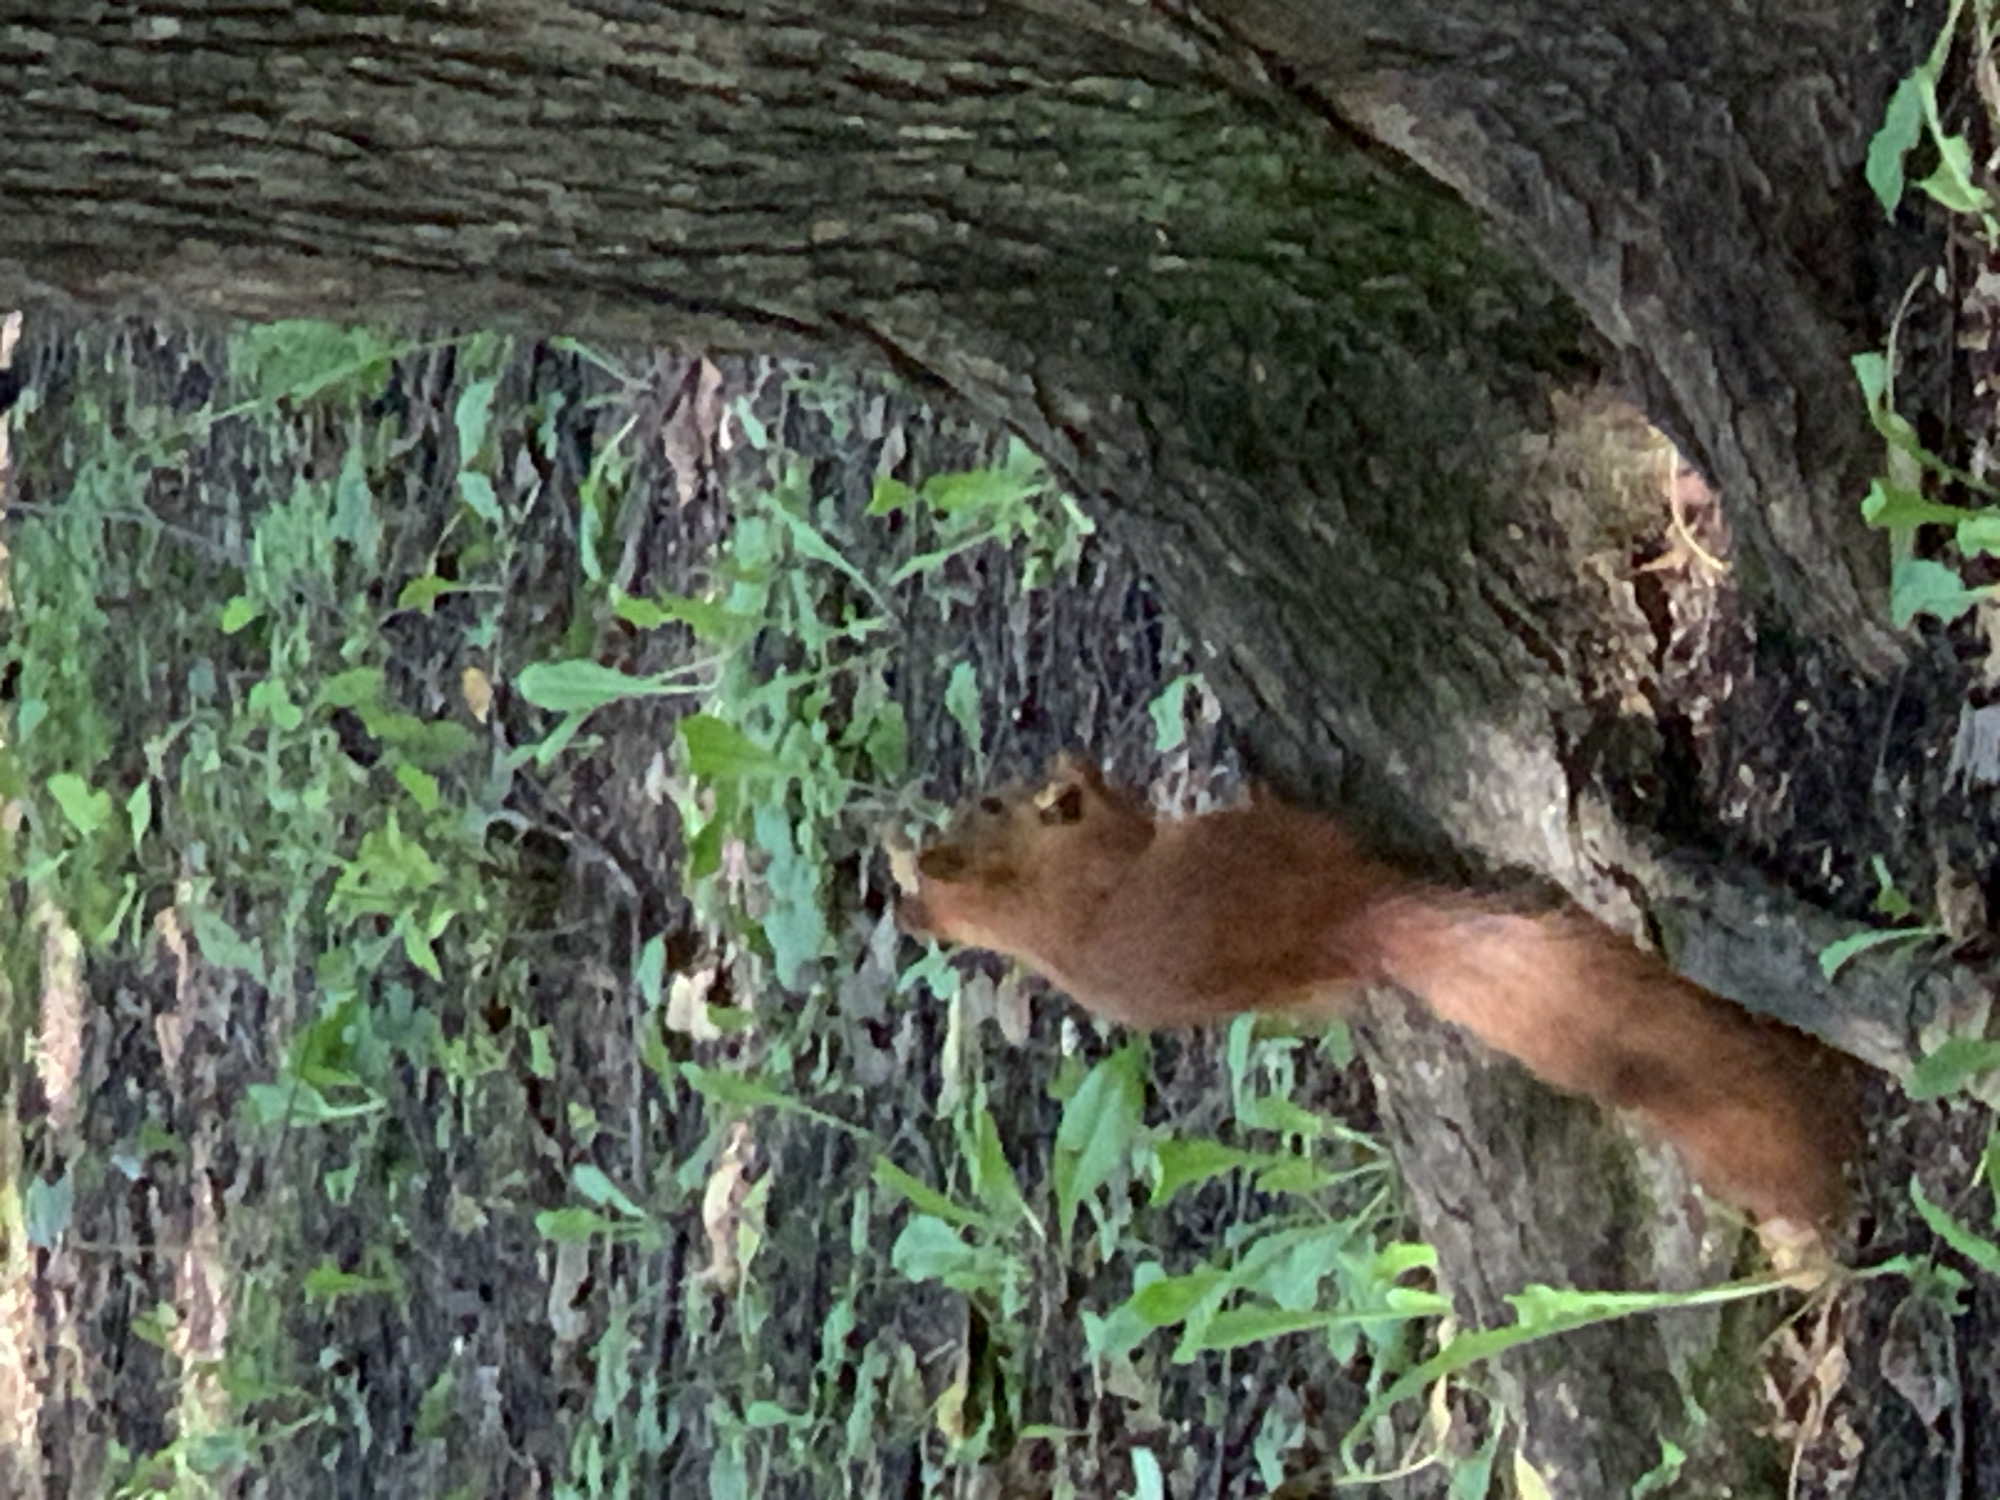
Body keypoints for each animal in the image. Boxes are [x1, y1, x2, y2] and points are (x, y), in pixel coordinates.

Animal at [892, 756, 1859, 1238]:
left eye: (981, 802)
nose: (1028, 783)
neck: (1038, 915)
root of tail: (1350, 919)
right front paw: (1075, 785)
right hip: (1282, 837)